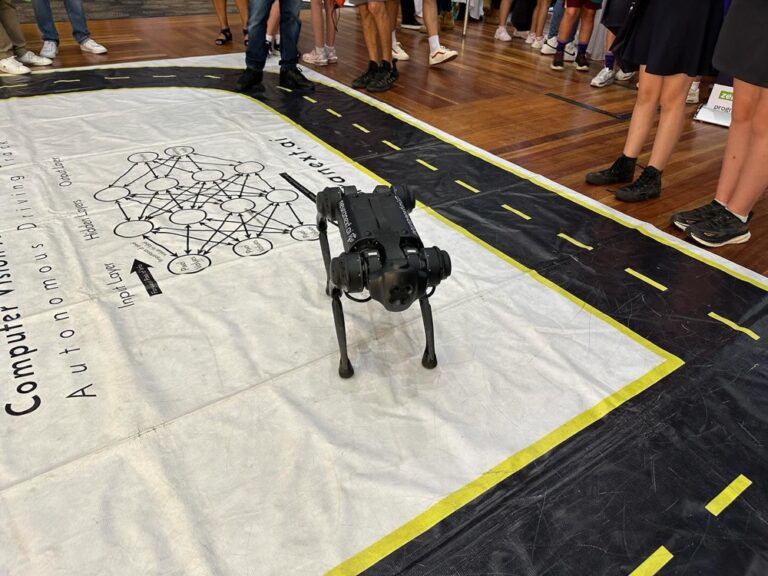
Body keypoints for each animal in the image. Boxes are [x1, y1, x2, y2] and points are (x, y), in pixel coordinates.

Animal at [316, 183, 450, 378]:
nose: (400, 292)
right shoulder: (343, 269)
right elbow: (336, 297)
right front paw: (345, 369)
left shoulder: (426, 273)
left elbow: (426, 306)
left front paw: (429, 359)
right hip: (329, 200)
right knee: (322, 223)